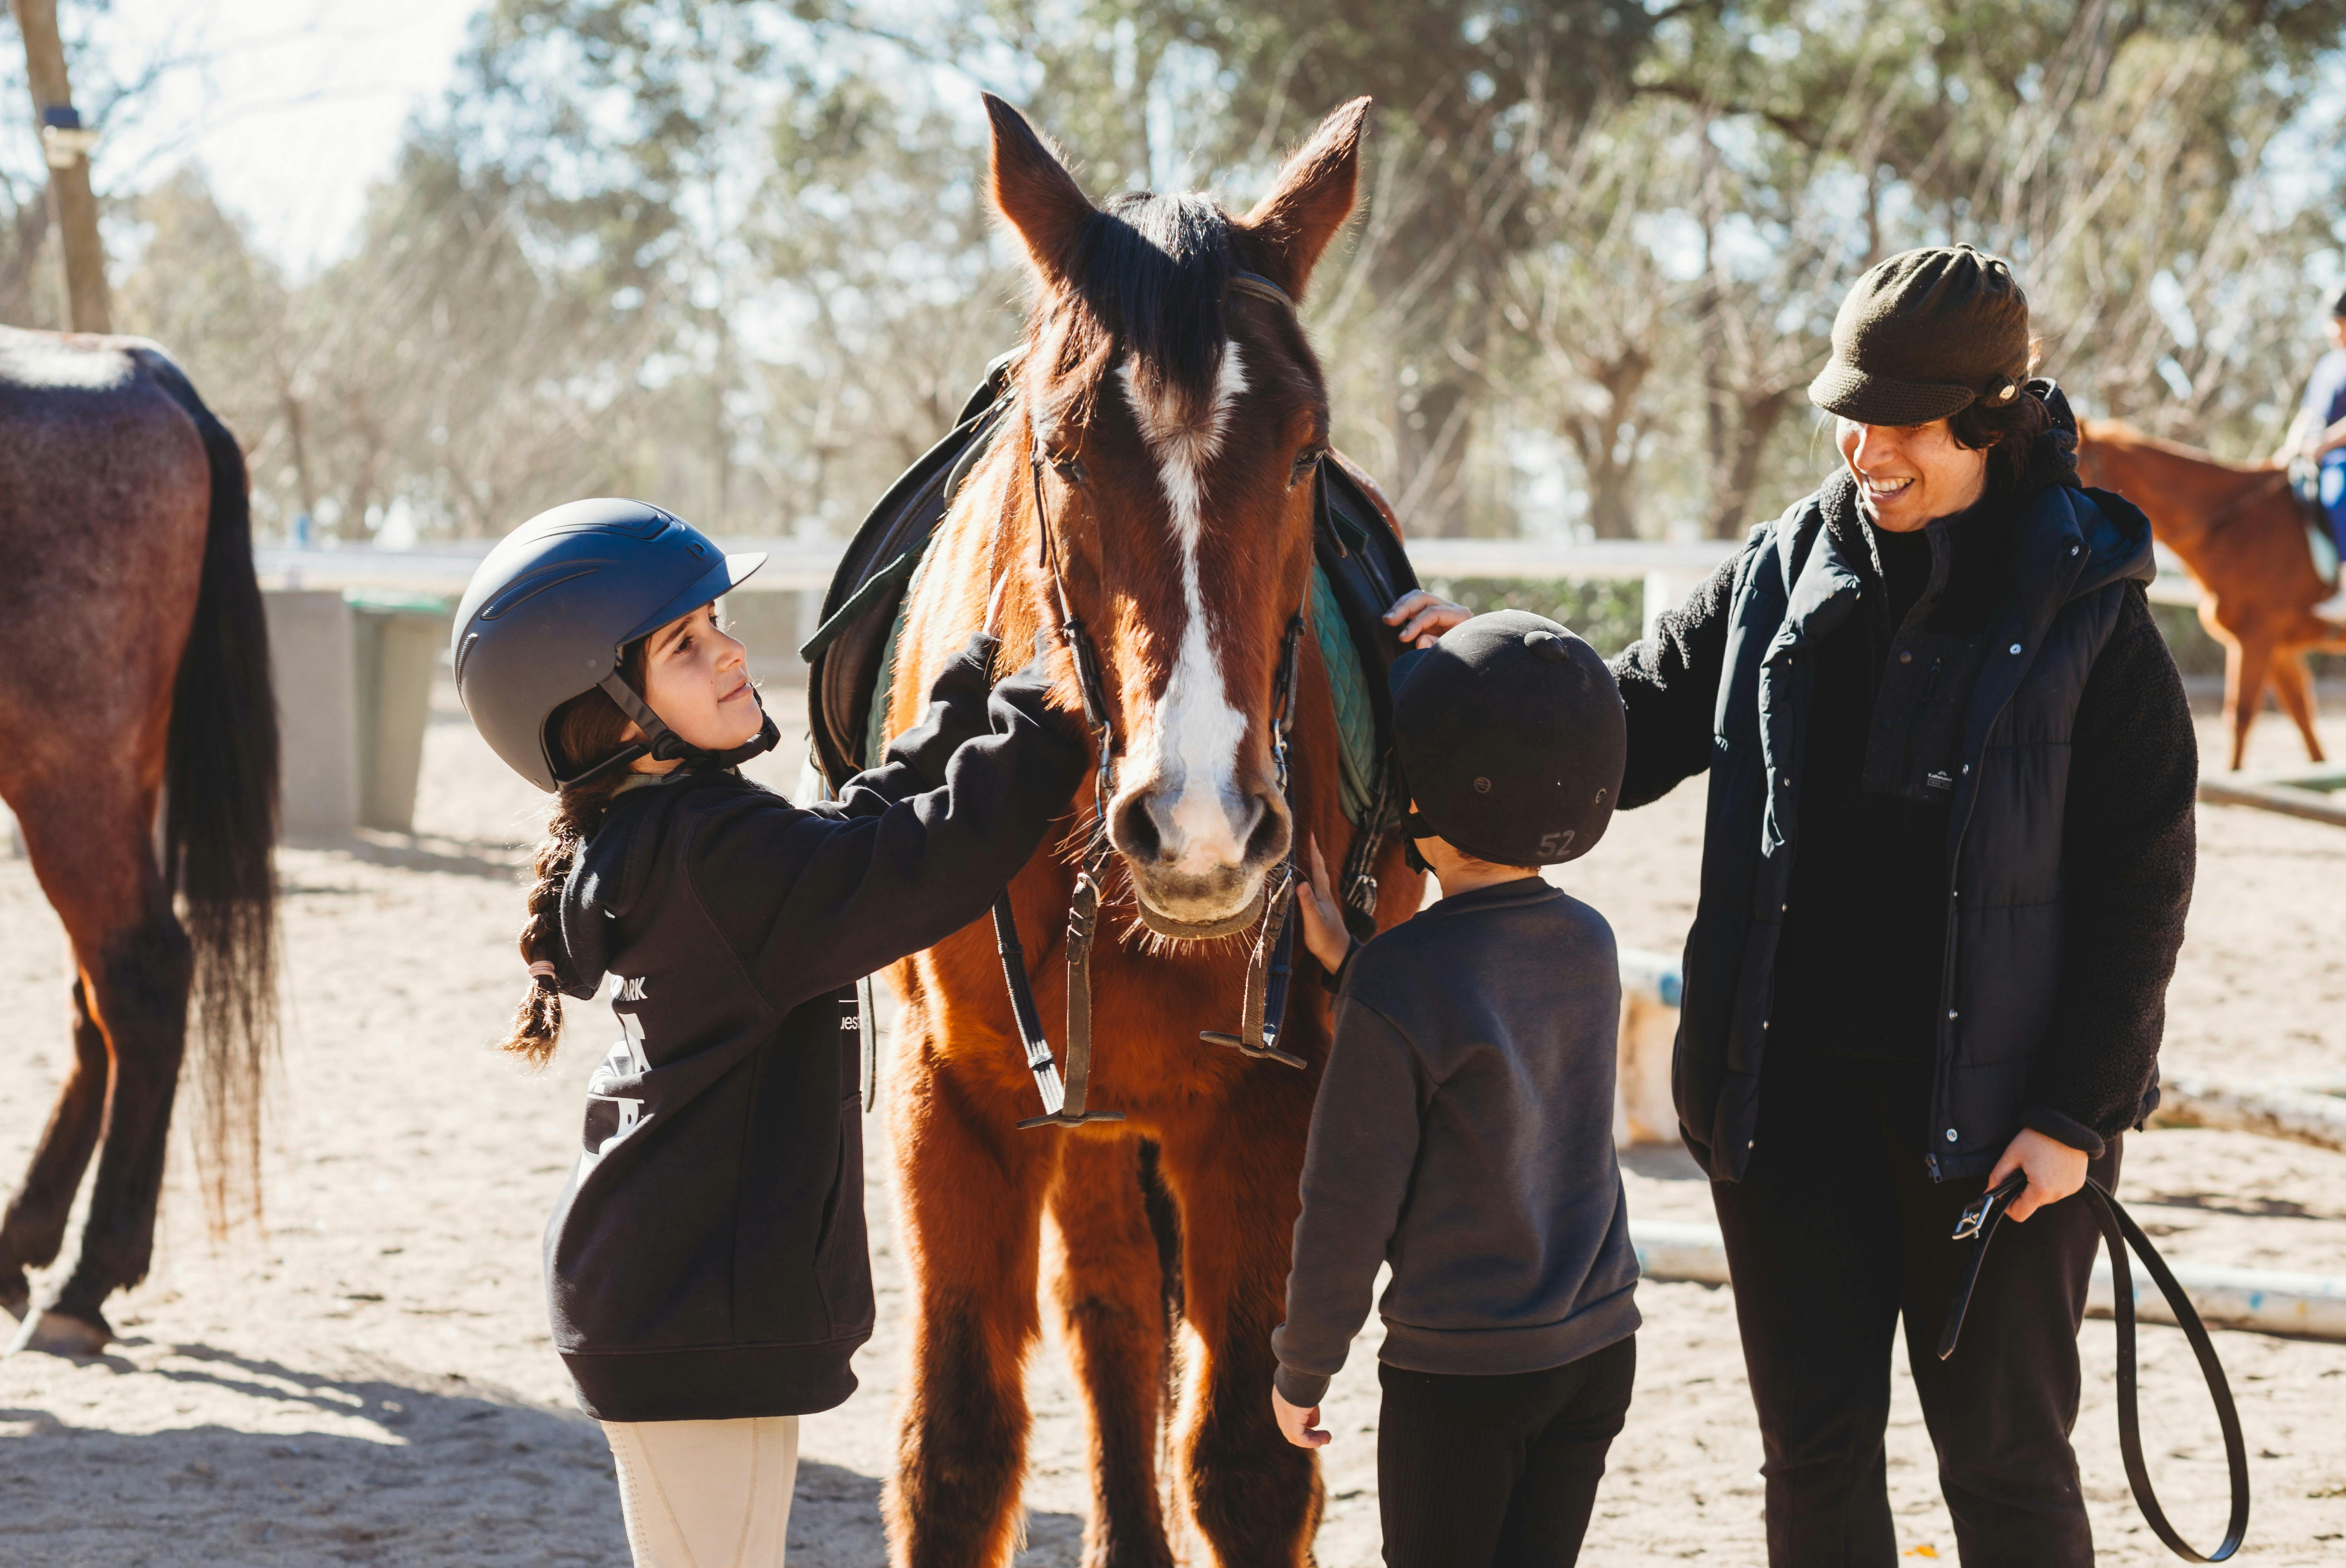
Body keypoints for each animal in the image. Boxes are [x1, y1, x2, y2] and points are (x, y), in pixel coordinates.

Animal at [870, 97, 1420, 1566]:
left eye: (1302, 451)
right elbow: (958, 1453)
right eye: (1061, 450)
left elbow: (1247, 1462)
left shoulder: (1272, 1105)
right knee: (1108, 1312)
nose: (1200, 827)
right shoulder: (958, 1107)